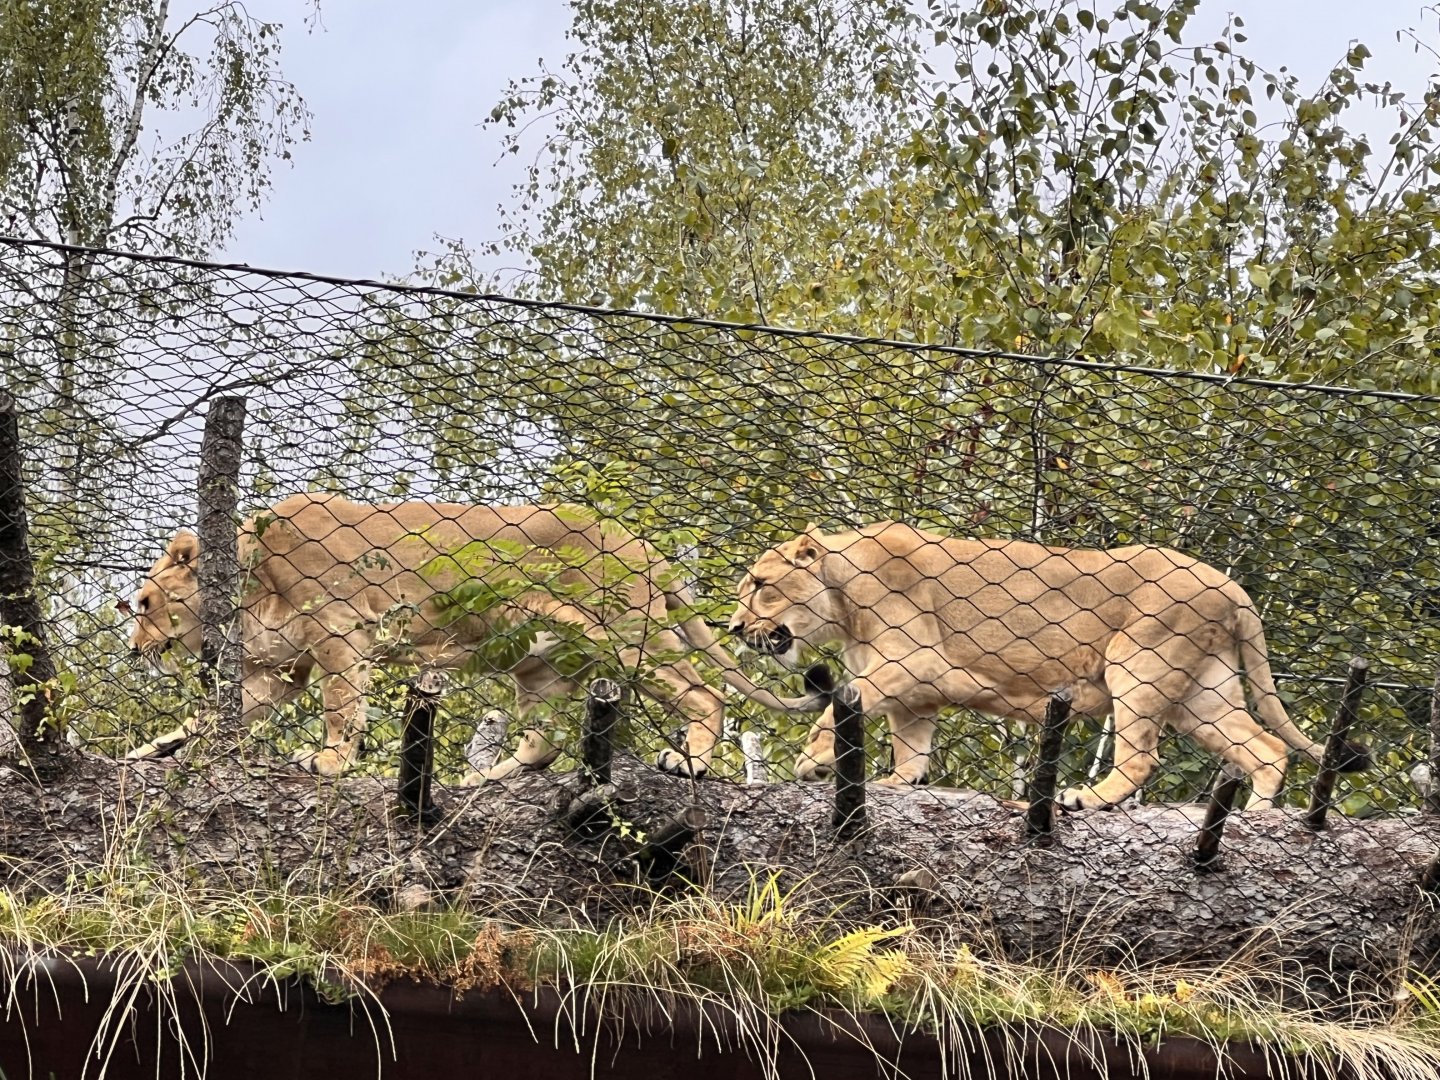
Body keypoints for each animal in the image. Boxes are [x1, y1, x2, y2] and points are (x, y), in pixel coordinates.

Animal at [126, 492, 803, 779]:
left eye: (144, 602)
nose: (134, 650)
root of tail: (640, 542)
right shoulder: (281, 669)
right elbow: (208, 717)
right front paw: (148, 751)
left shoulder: (343, 633)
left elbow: (342, 709)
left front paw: (330, 760)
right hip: (540, 668)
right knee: (543, 745)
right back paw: (479, 779)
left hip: (626, 635)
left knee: (706, 693)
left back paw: (689, 761)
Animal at [729, 522, 1369, 810]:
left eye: (759, 585)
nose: (734, 628)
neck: (840, 597)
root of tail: (1231, 586)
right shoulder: (917, 695)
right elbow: (910, 752)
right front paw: (892, 784)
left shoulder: (916, 662)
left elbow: (840, 704)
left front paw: (813, 760)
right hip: (1202, 694)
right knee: (1268, 748)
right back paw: (1256, 819)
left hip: (1137, 664)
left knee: (1142, 758)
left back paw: (1085, 799)